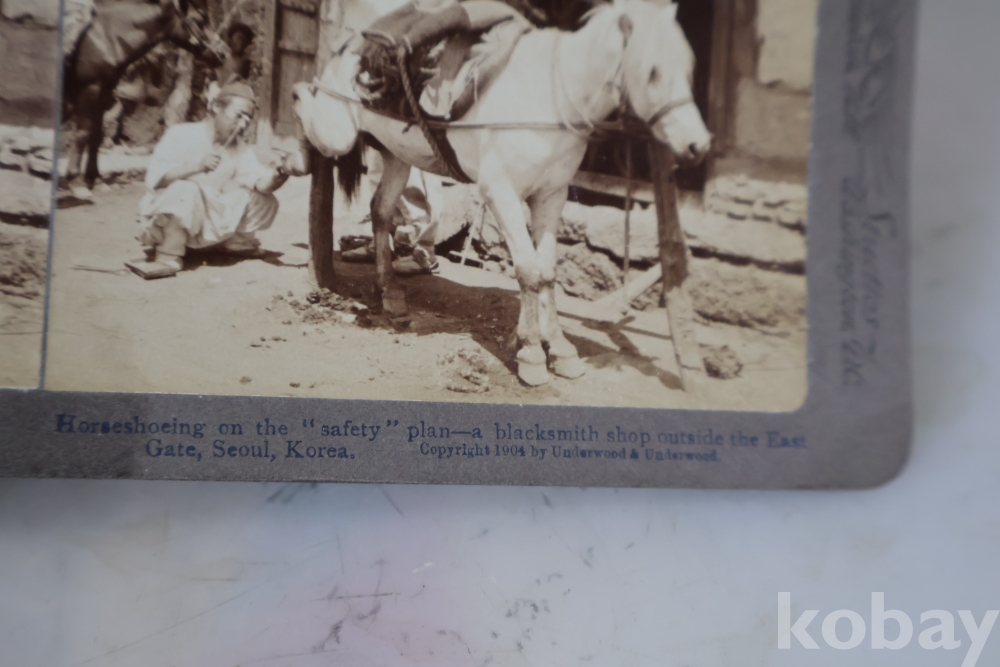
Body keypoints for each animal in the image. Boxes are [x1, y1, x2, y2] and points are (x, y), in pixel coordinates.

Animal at [62, 0, 224, 197]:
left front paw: (93, 179)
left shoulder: (104, 90)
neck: (106, 36)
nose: (222, 53)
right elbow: (82, 133)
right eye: (199, 21)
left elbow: (96, 134)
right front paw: (75, 181)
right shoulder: (90, 88)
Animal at [290, 0, 711, 387]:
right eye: (653, 72)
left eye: (691, 69)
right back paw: (294, 129)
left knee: (380, 211)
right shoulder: (500, 192)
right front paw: (531, 353)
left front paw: (559, 348)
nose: (698, 146)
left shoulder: (552, 195)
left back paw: (390, 292)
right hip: (336, 133)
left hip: (397, 156)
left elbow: (547, 270)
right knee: (304, 104)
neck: (549, 97)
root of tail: (350, 45)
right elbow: (527, 269)